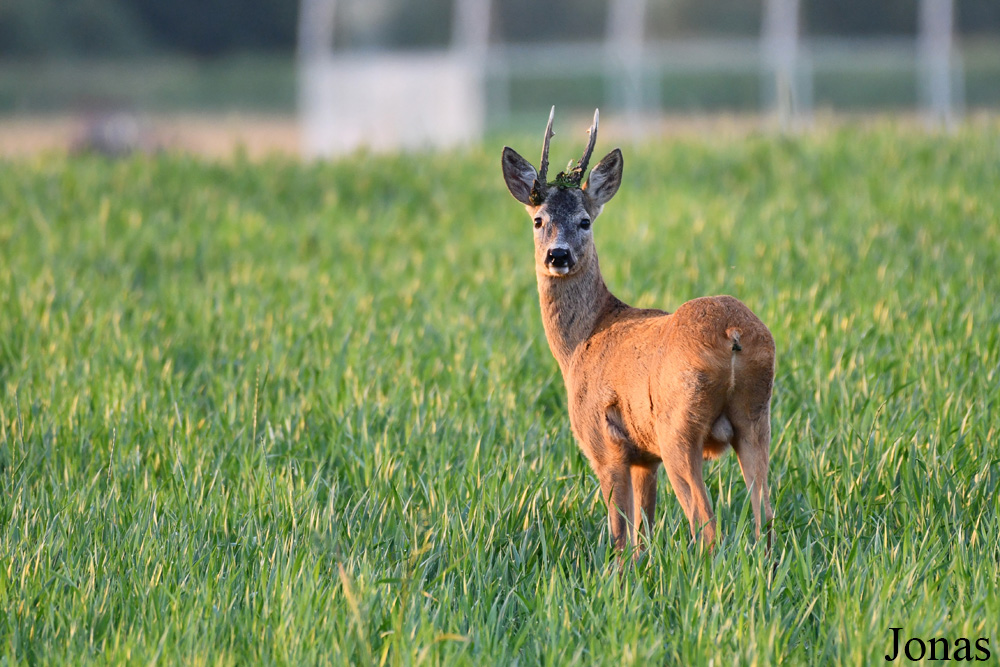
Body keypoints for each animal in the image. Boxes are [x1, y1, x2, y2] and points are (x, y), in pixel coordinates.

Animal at [504, 107, 776, 552]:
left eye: (585, 221)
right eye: (538, 220)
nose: (558, 255)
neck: (581, 341)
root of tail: (733, 334)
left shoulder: (605, 443)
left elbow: (619, 536)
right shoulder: (645, 458)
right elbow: (642, 534)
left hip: (678, 427)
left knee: (706, 523)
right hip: (756, 417)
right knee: (765, 517)